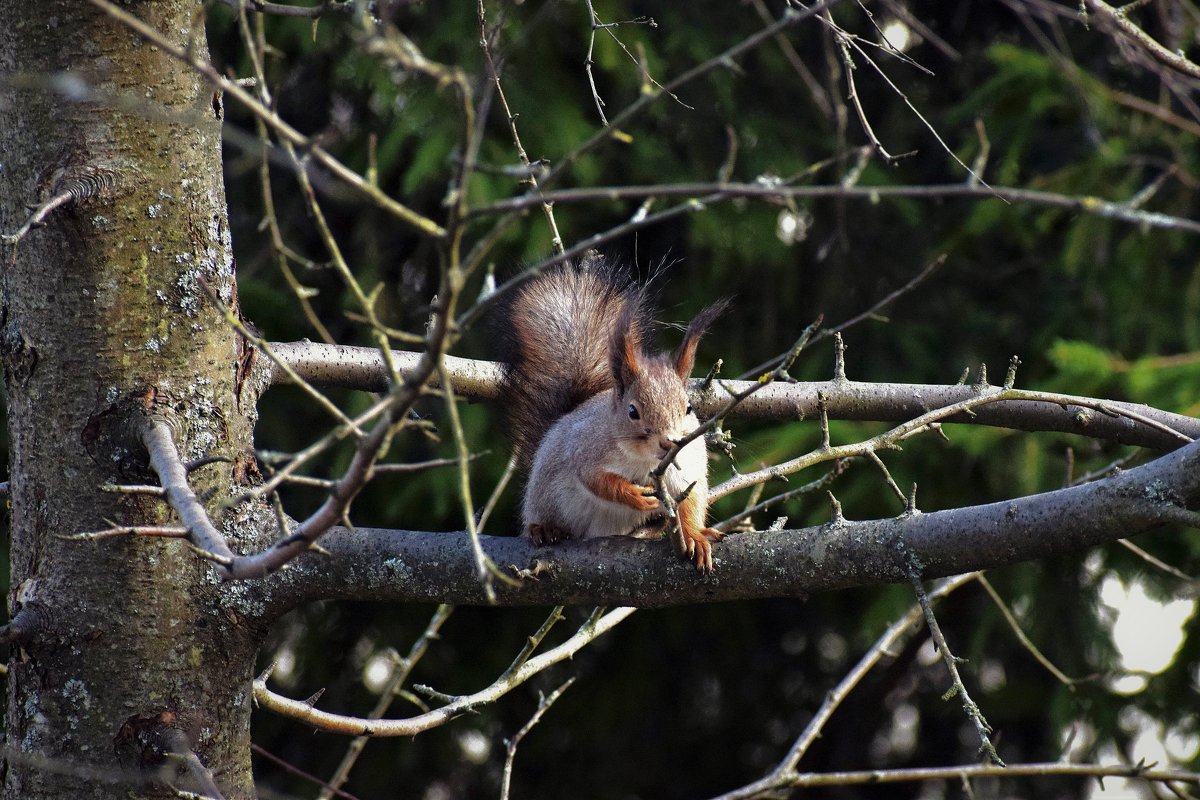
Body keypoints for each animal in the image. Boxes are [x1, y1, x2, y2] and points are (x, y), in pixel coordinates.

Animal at [499, 253, 729, 573]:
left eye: (688, 408)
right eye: (632, 411)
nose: (669, 442)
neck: (646, 463)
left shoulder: (689, 467)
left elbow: (692, 500)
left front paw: (695, 535)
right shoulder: (587, 448)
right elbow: (597, 480)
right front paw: (634, 495)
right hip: (543, 495)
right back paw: (543, 529)